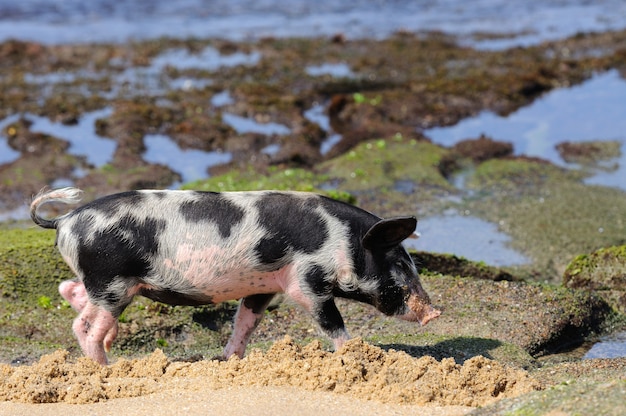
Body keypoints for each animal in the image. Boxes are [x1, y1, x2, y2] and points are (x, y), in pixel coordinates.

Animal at [29, 187, 438, 366]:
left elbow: (246, 321)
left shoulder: (263, 286)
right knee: (84, 327)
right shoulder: (307, 281)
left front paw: (231, 359)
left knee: (70, 290)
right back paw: (108, 366)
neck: (339, 239)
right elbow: (330, 322)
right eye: (400, 265)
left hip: (107, 284)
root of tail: (65, 221)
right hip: (112, 281)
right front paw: (354, 353)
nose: (433, 312)